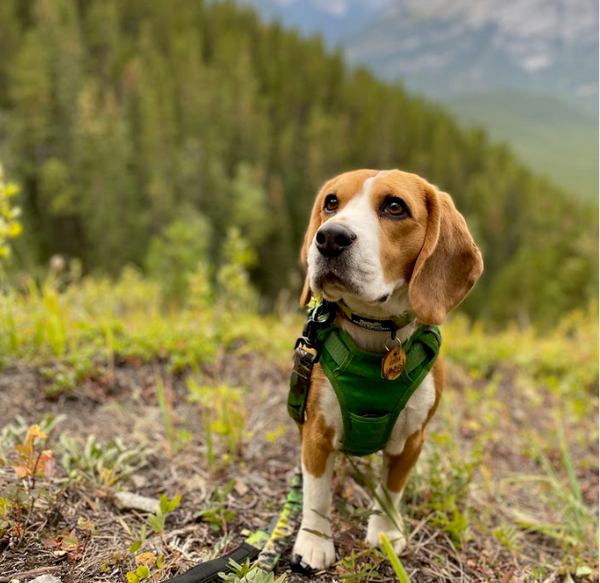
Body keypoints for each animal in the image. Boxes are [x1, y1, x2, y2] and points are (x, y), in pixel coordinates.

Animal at [290, 168, 482, 572]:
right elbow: (317, 496)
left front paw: (386, 533)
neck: (374, 331)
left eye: (395, 207)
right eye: (331, 202)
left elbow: (391, 490)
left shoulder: (411, 440)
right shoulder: (316, 433)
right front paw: (314, 542)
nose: (330, 237)